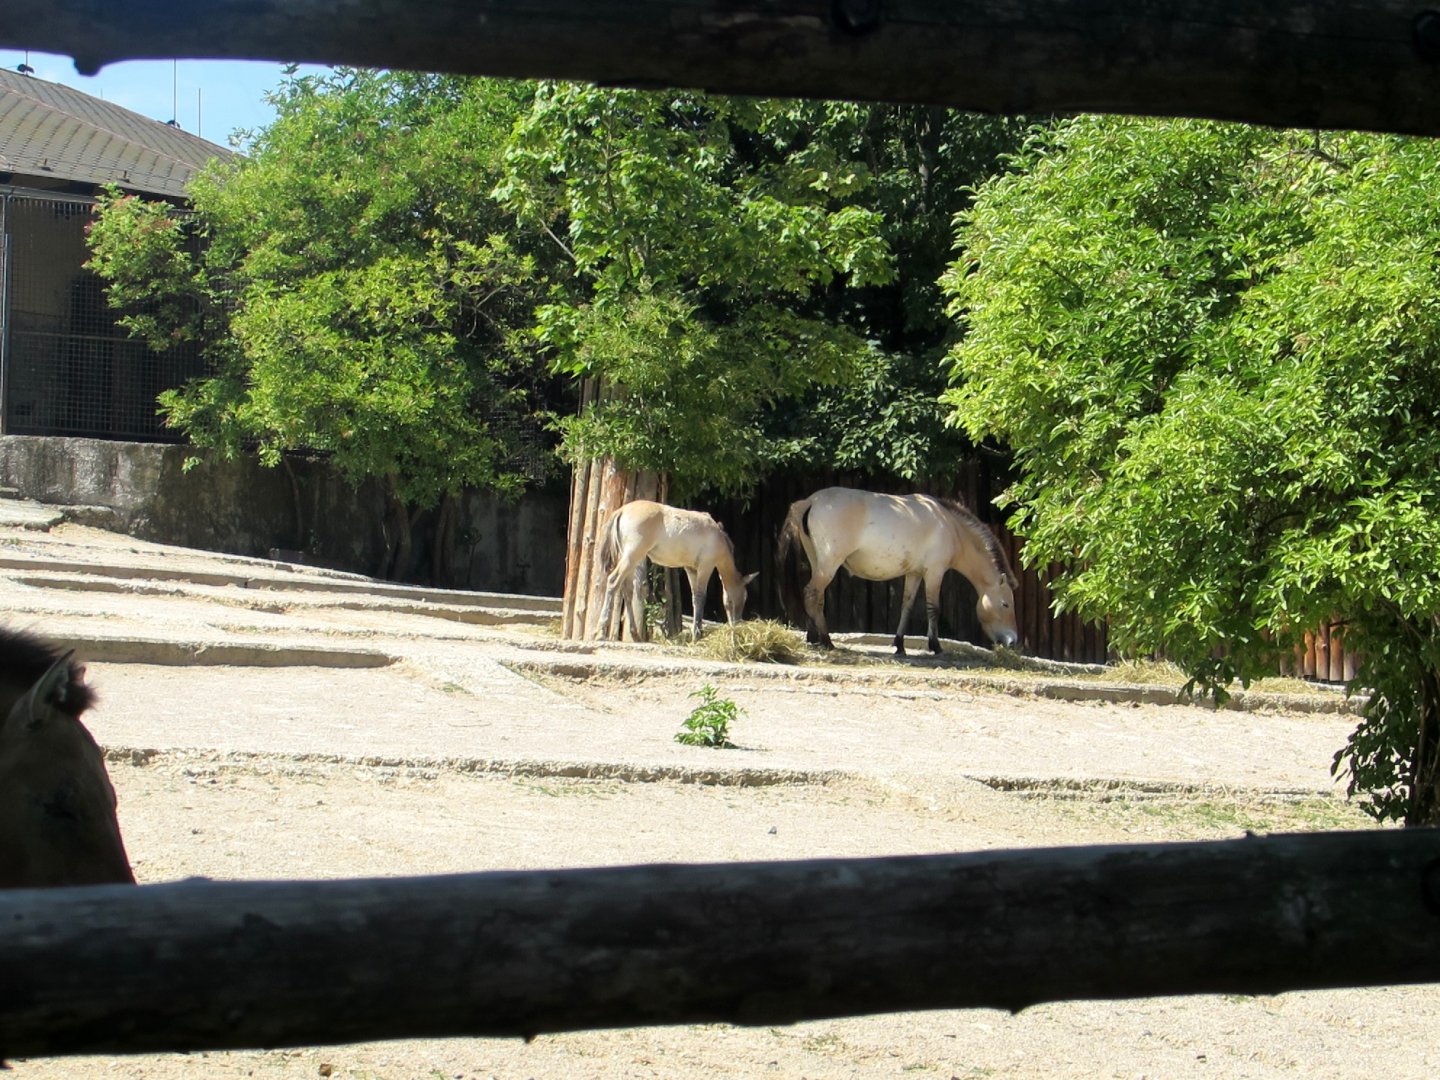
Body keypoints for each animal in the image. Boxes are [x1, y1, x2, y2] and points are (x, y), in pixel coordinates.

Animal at [596, 500, 758, 642]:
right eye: (744, 597)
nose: (736, 623)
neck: (717, 536)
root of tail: (622, 510)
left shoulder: (691, 570)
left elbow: (695, 598)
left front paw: (696, 632)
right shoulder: (705, 567)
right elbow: (701, 597)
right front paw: (697, 635)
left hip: (632, 560)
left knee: (627, 590)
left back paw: (635, 635)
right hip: (631, 556)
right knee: (613, 581)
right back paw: (601, 632)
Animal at [778, 487, 1020, 656]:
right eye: (1005, 604)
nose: (1013, 641)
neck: (950, 526)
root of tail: (810, 501)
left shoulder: (914, 573)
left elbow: (907, 606)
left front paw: (899, 645)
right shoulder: (934, 573)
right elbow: (933, 608)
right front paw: (935, 645)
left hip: (817, 562)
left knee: (815, 596)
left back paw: (814, 637)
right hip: (829, 565)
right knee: (812, 593)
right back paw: (826, 640)